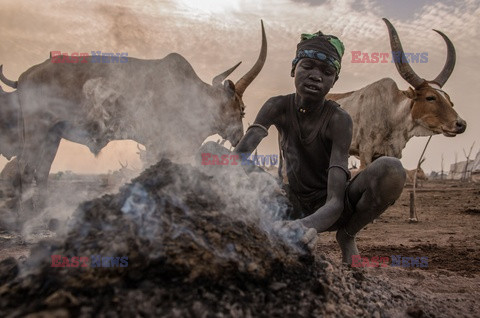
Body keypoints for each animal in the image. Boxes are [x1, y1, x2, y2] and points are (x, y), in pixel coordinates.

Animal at [0, 21, 266, 211]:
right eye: (241, 108)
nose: (239, 135)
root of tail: (25, 75)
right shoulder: (158, 143)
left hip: (52, 135)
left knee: (42, 170)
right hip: (37, 130)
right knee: (25, 168)